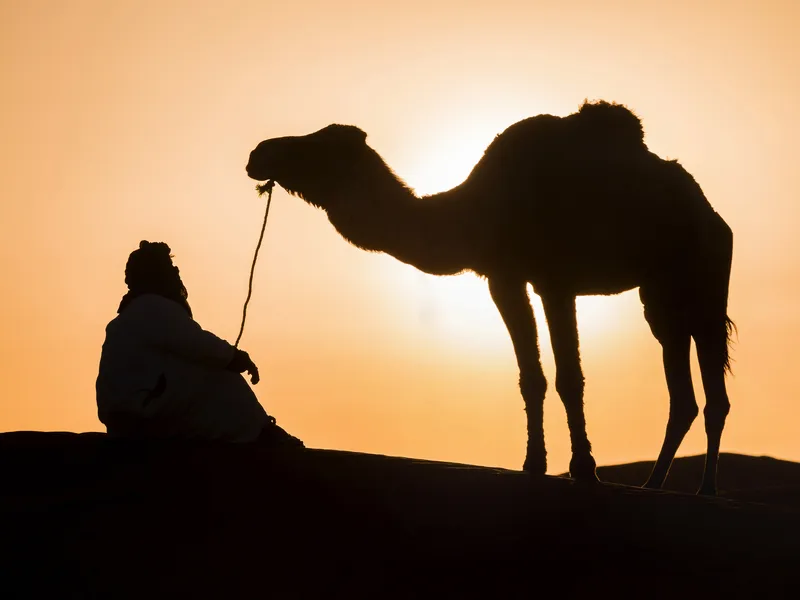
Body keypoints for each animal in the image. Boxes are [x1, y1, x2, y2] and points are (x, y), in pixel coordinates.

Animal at [246, 101, 734, 495]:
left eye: (318, 146)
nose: (258, 153)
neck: (477, 210)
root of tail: (712, 213)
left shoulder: (555, 280)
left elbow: (569, 377)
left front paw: (585, 468)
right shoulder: (503, 277)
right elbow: (531, 377)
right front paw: (533, 464)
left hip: (705, 278)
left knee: (714, 388)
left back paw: (707, 490)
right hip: (661, 296)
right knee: (682, 388)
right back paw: (654, 484)